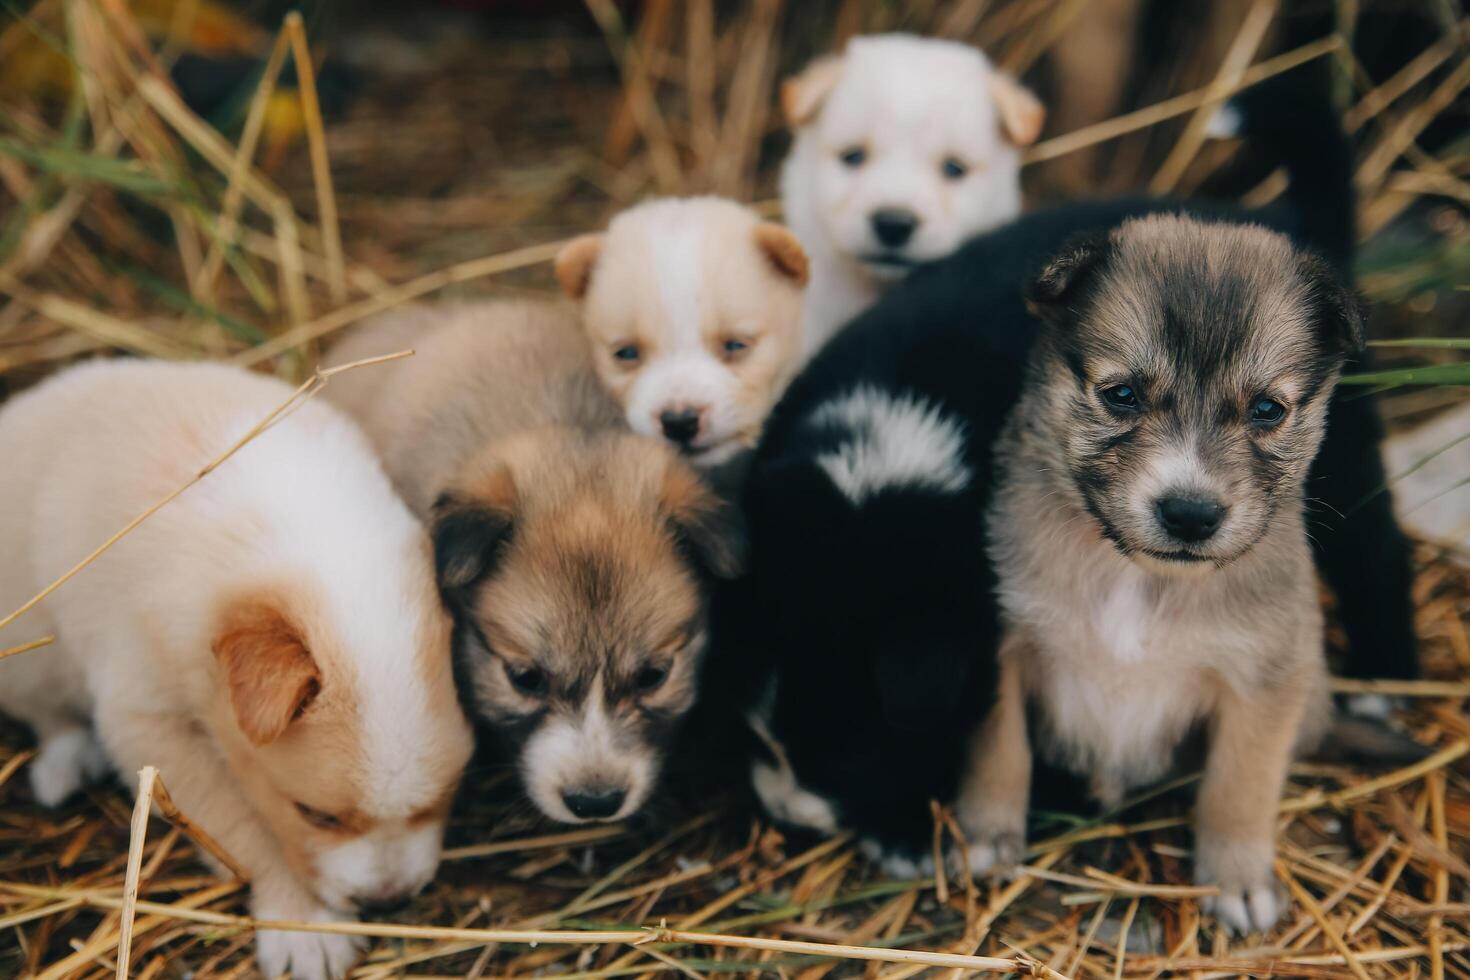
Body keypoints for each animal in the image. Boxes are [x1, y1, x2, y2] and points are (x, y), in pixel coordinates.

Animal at [0, 359, 470, 980]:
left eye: (446, 795)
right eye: (316, 815)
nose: (387, 902)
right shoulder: (150, 725)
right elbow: (243, 827)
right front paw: (300, 923)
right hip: (28, 652)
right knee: (49, 713)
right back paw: (63, 764)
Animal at [964, 214, 1364, 934]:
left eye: (1267, 410)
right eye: (1121, 395)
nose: (1191, 514)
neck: (1138, 577)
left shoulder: (1266, 680)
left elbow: (1240, 785)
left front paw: (1237, 881)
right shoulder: (1003, 642)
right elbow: (999, 743)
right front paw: (985, 835)